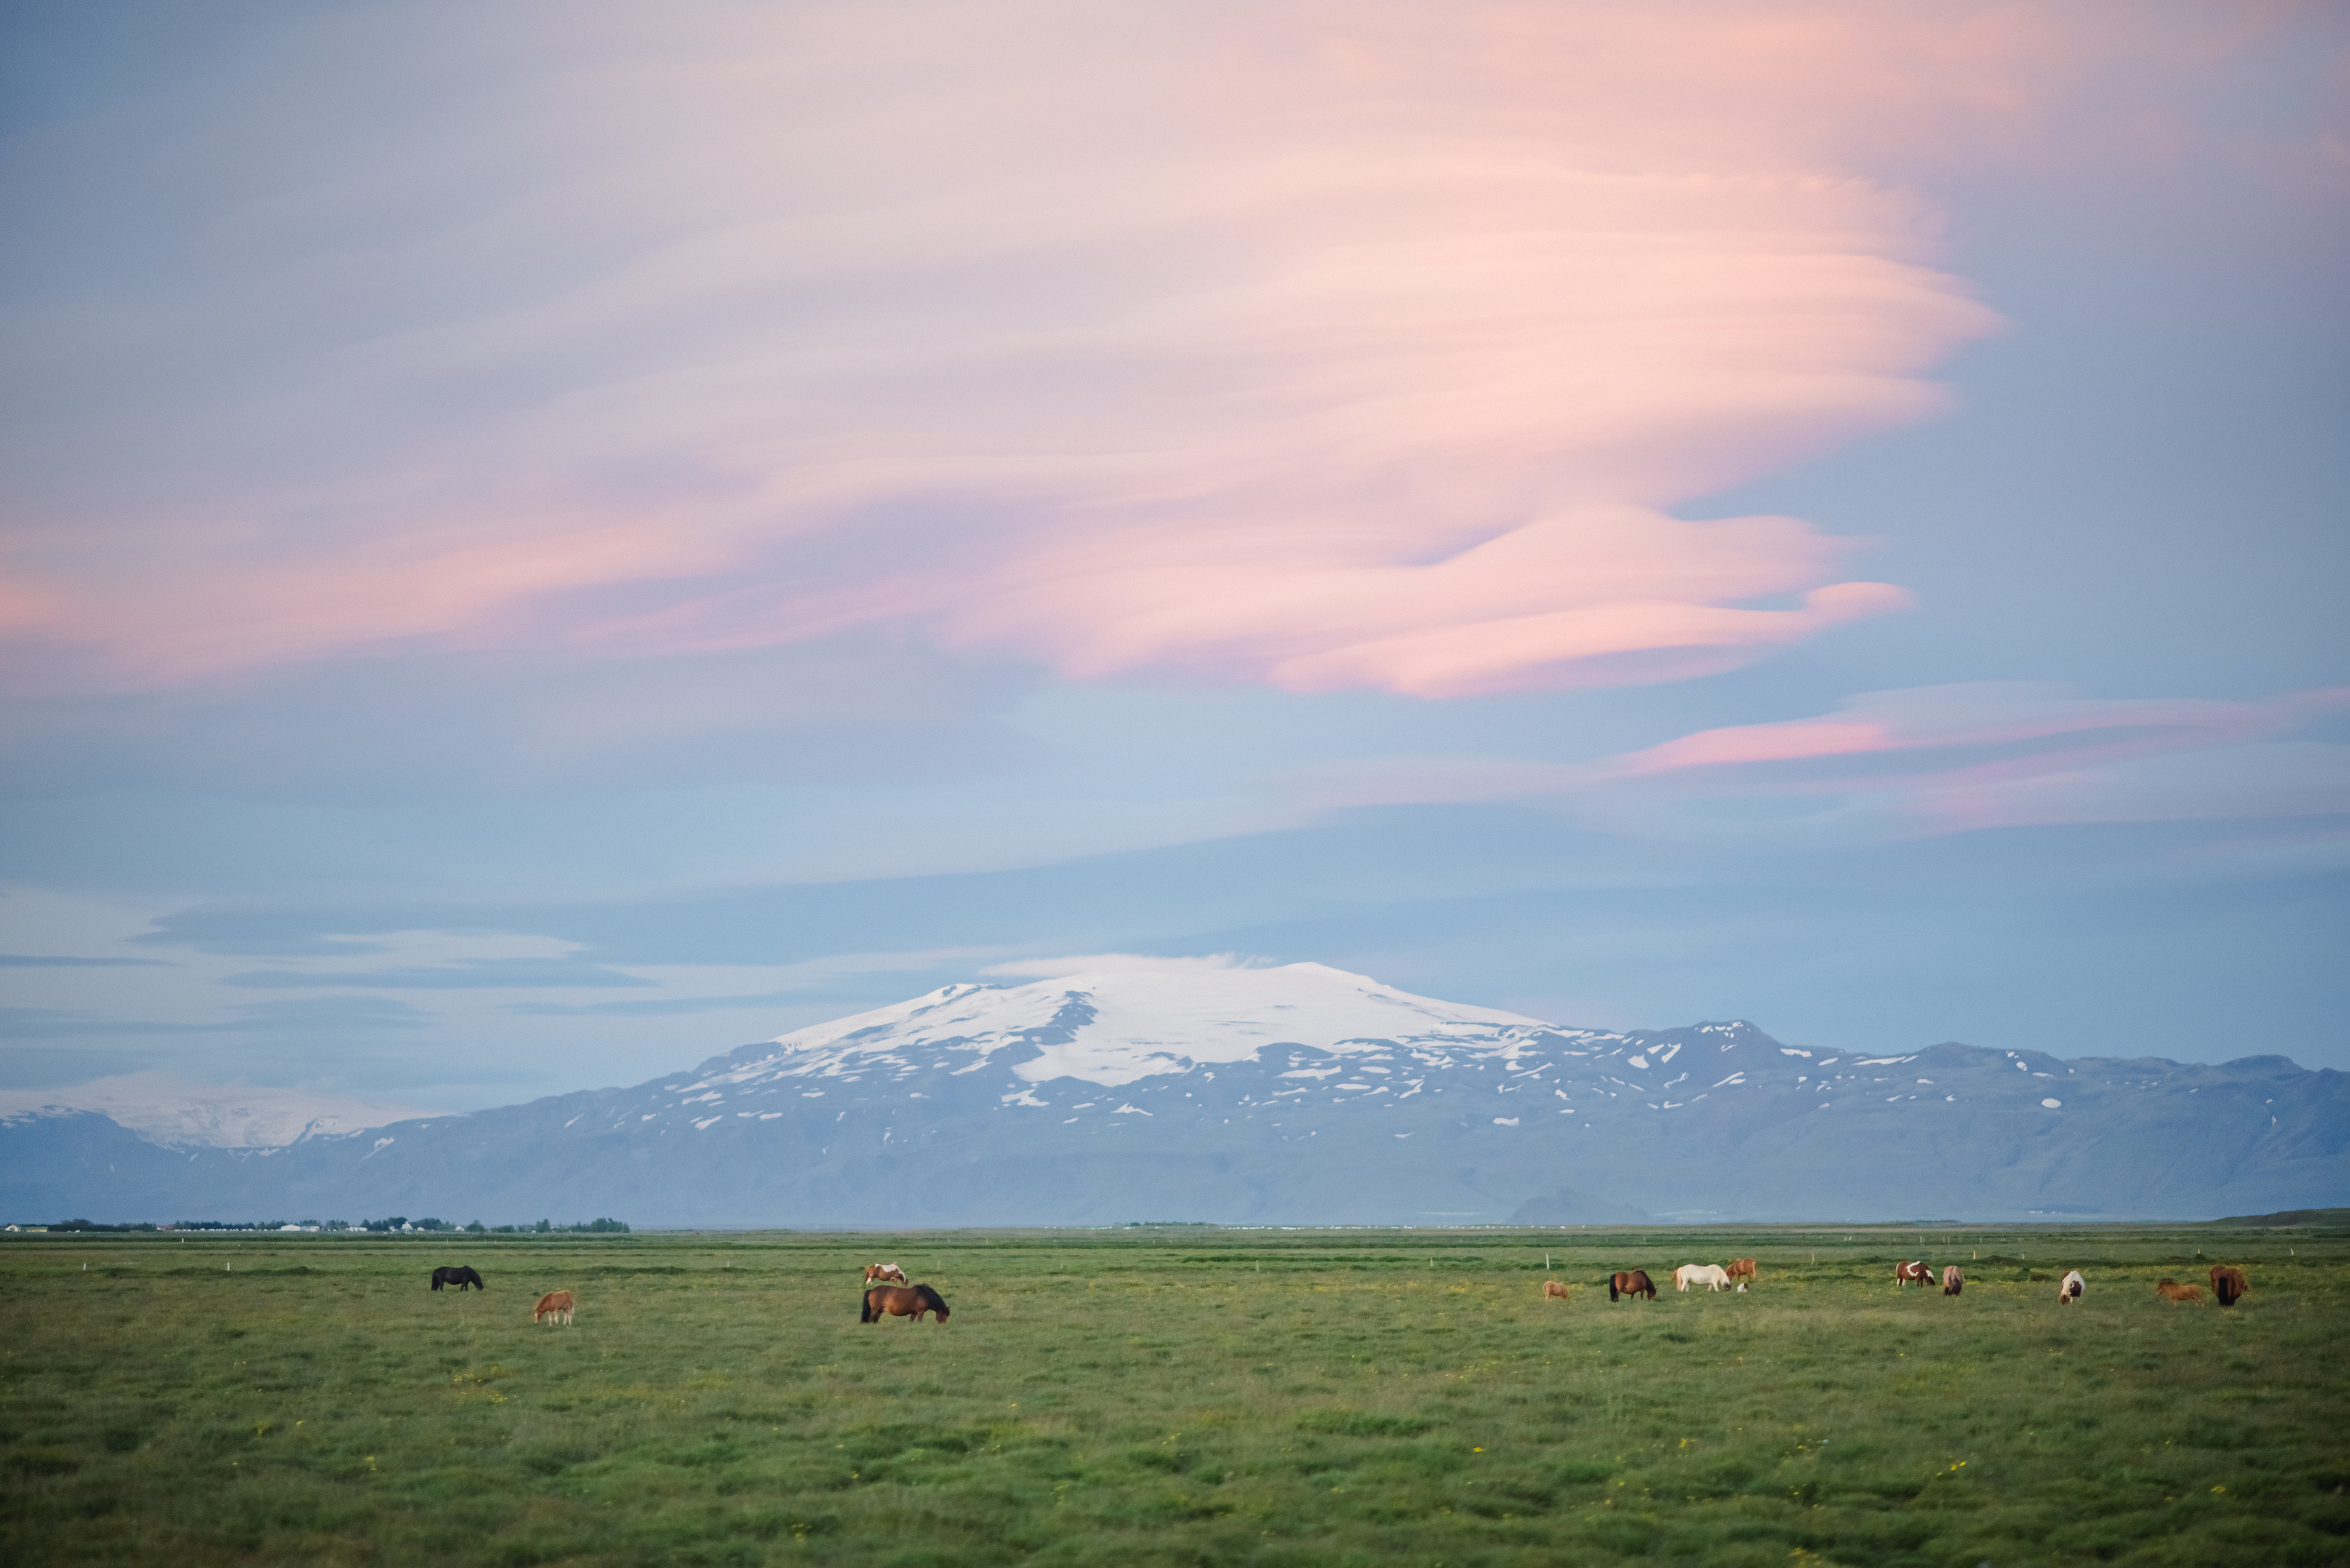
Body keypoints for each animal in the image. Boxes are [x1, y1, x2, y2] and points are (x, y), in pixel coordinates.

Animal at [860, 1288, 949, 1326]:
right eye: (944, 1315)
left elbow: (911, 1321)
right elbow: (920, 1321)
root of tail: (872, 1290)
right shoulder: (921, 1312)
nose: (943, 1324)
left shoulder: (914, 1313)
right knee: (871, 1319)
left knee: (875, 1320)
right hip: (875, 1310)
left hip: (879, 1311)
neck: (925, 1295)